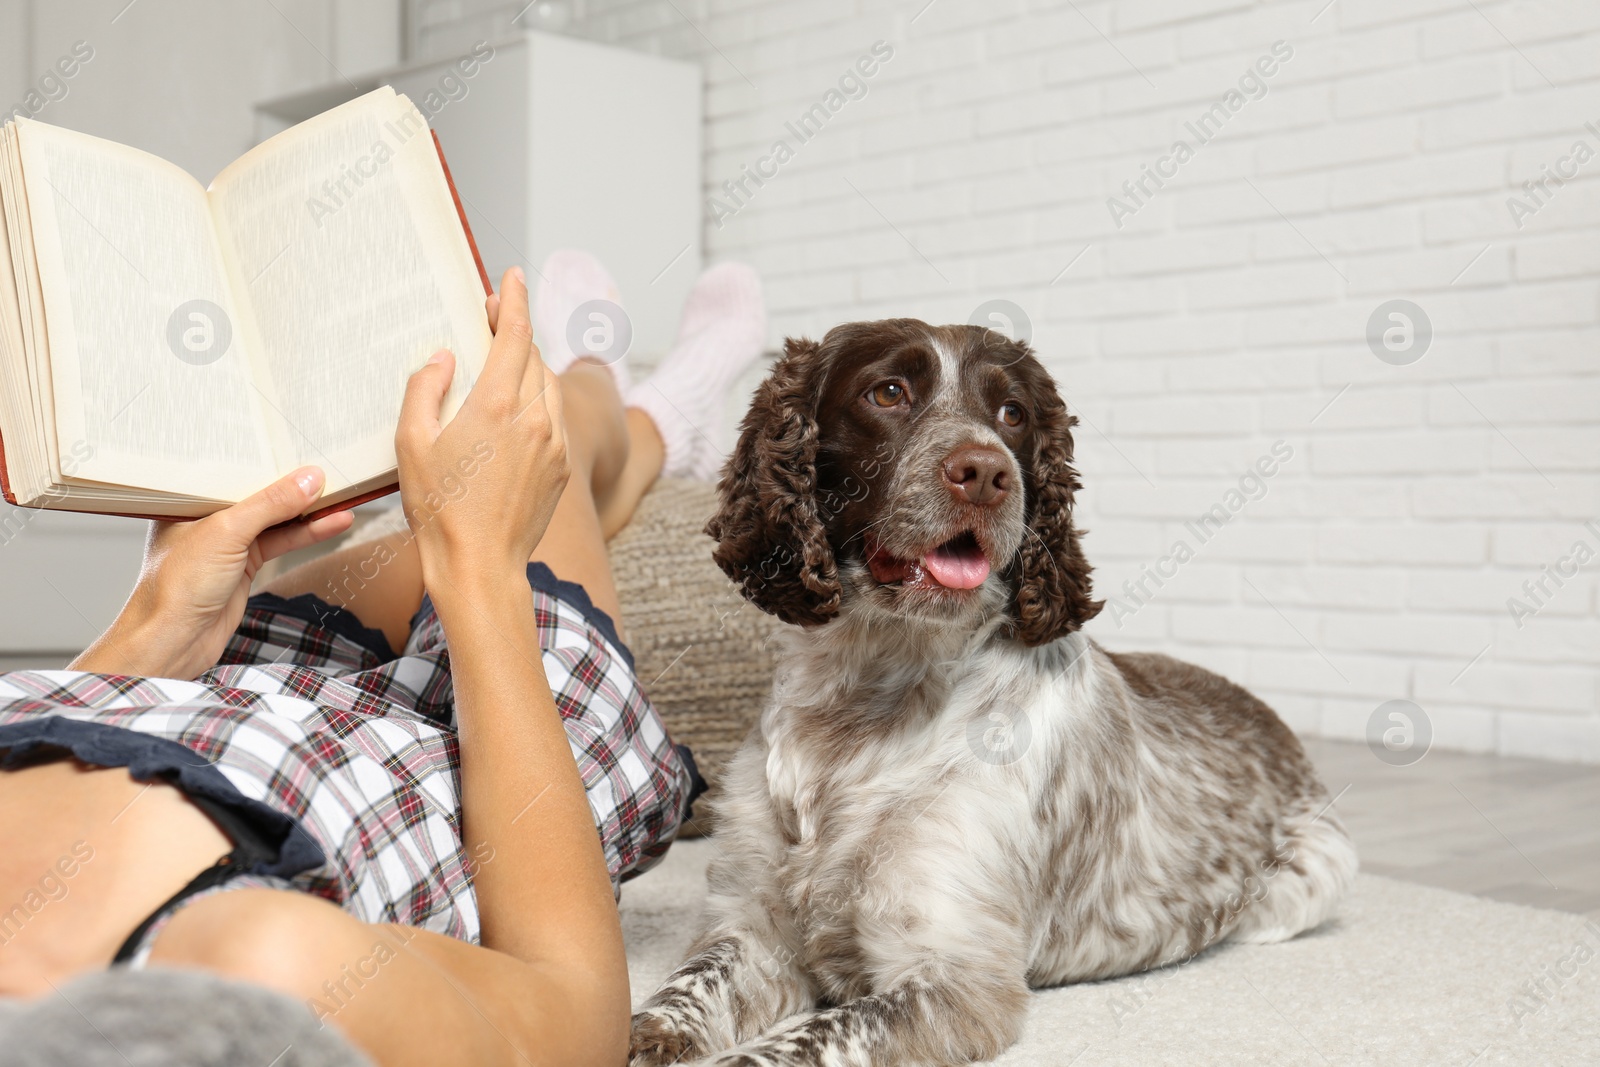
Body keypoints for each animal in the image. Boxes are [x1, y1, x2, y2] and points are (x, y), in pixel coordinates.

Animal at [630, 319, 1356, 1067]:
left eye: (1013, 414)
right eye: (887, 392)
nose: (985, 472)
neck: (871, 692)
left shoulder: (957, 979)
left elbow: (794, 1046)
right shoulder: (751, 927)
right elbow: (666, 1006)